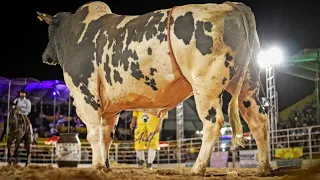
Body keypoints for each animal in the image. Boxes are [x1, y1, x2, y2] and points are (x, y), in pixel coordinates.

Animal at [37, 0, 272, 176]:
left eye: (49, 31)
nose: (45, 56)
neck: (76, 34)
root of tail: (230, 5)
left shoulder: (85, 94)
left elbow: (93, 133)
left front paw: (97, 166)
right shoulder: (111, 106)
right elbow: (106, 135)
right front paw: (106, 166)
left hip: (206, 86)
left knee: (214, 123)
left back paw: (197, 168)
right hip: (248, 82)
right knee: (258, 119)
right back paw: (263, 168)